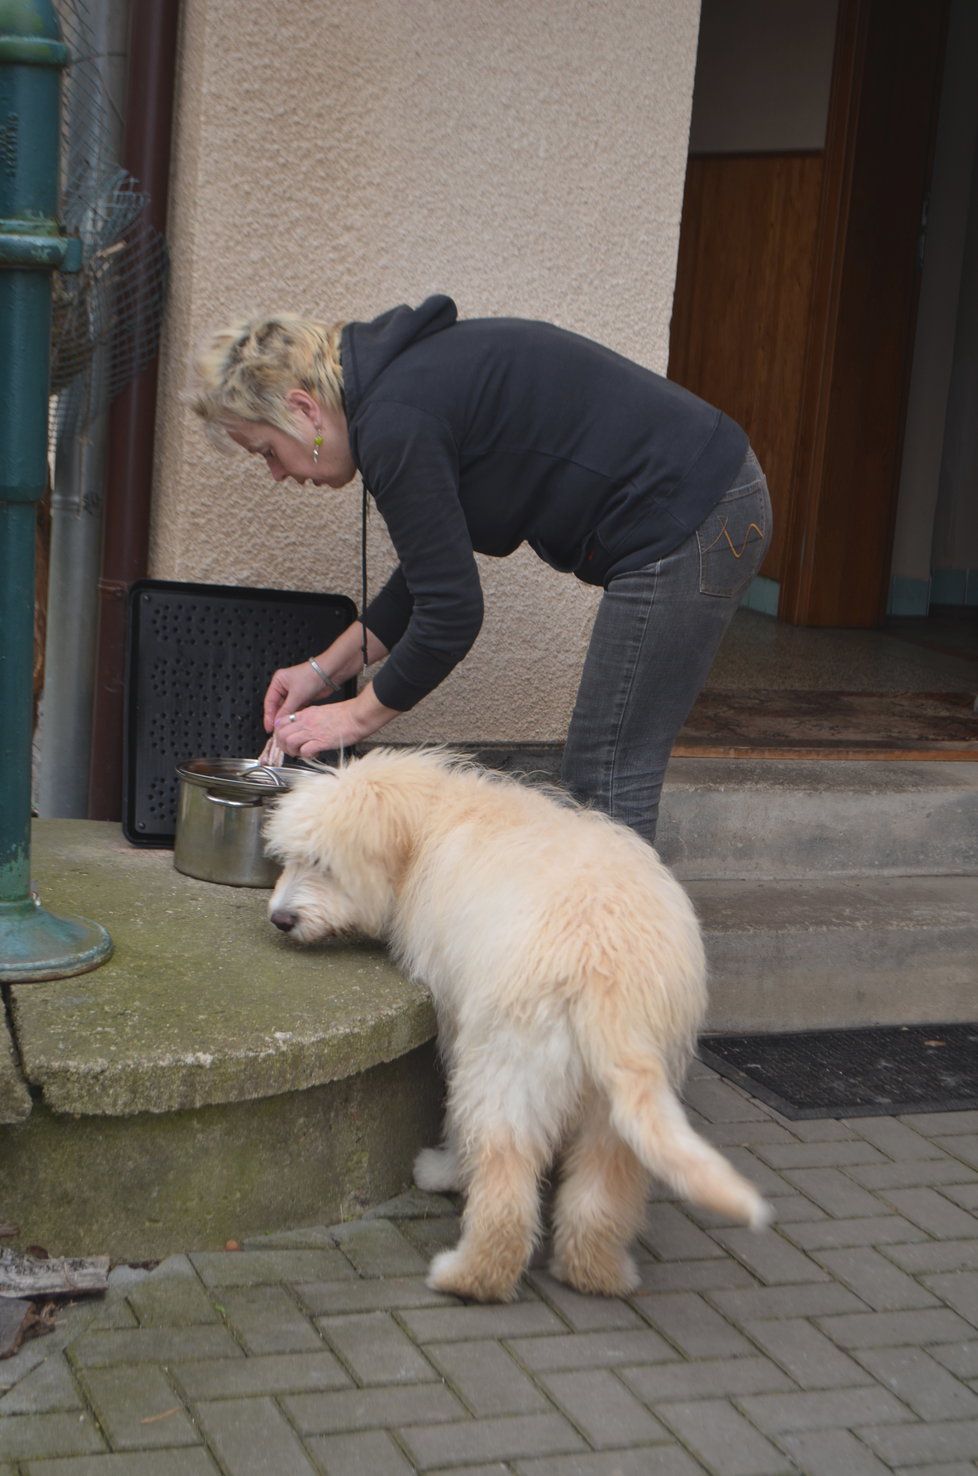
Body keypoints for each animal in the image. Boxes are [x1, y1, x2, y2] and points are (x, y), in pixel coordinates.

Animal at [264, 749, 767, 1304]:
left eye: (322, 864)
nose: (279, 919)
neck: (432, 819)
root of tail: (607, 973)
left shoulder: (458, 1017)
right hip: (616, 1100)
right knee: (601, 1187)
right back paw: (597, 1272)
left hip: (508, 1066)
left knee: (503, 1185)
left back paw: (465, 1263)